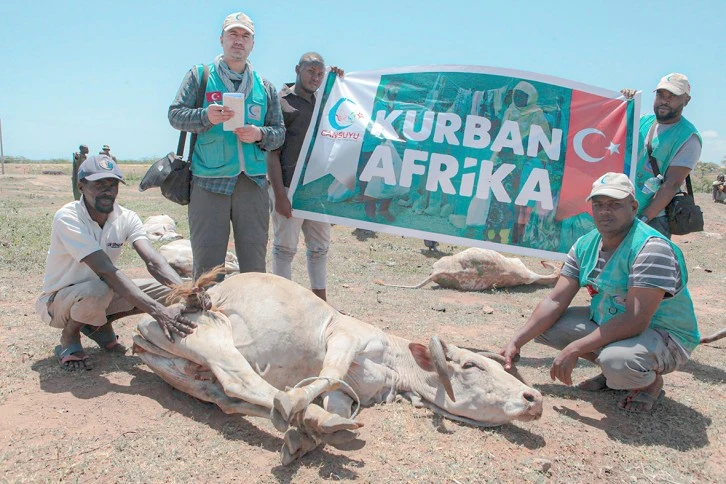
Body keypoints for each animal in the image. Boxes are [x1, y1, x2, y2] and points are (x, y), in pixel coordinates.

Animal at [134, 270, 544, 464]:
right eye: (473, 365)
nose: (534, 398)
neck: (394, 366)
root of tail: (148, 323)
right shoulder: (345, 337)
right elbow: (327, 375)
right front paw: (300, 406)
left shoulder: (350, 393)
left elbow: (335, 396)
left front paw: (316, 429)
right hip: (213, 334)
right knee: (243, 384)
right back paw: (296, 412)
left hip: (192, 374)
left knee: (225, 396)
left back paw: (311, 428)